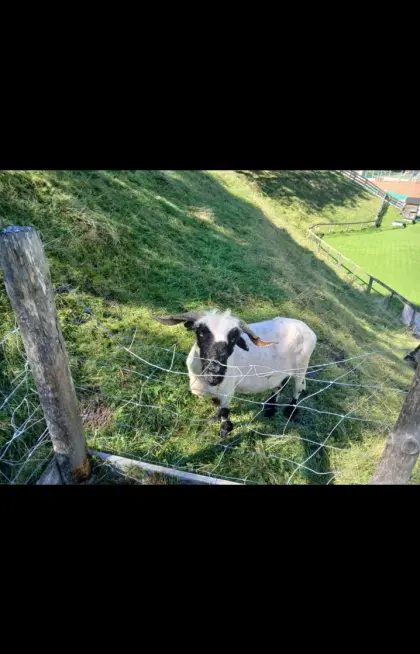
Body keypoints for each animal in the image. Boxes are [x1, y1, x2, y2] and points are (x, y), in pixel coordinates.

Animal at [153, 309, 317, 438]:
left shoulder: (228, 388)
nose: (215, 372)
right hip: (280, 371)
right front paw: (214, 419)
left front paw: (225, 430)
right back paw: (270, 409)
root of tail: (307, 328)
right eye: (201, 332)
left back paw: (290, 412)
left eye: (233, 338)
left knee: (297, 389)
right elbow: (217, 404)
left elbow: (225, 410)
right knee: (279, 386)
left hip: (301, 367)